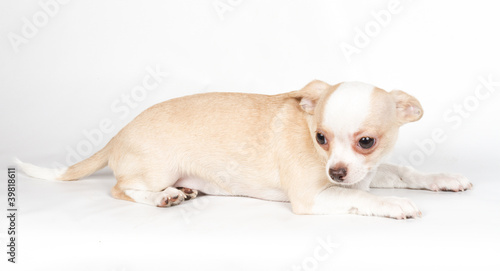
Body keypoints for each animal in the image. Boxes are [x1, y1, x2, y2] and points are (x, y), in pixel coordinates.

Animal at [18, 80, 472, 219]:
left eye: (366, 142)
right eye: (320, 139)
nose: (336, 173)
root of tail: (117, 133)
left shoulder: (369, 171)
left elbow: (405, 172)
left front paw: (444, 179)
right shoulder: (315, 196)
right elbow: (362, 197)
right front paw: (393, 204)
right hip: (155, 169)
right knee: (120, 189)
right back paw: (164, 197)